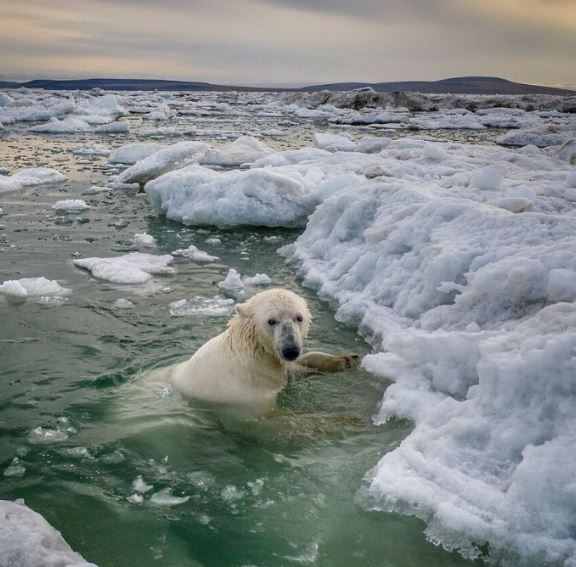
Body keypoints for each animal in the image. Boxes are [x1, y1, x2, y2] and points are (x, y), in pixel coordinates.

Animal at [169, 290, 362, 414]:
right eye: (271, 321)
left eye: (299, 317)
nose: (291, 350)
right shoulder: (246, 395)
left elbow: (294, 371)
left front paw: (347, 359)